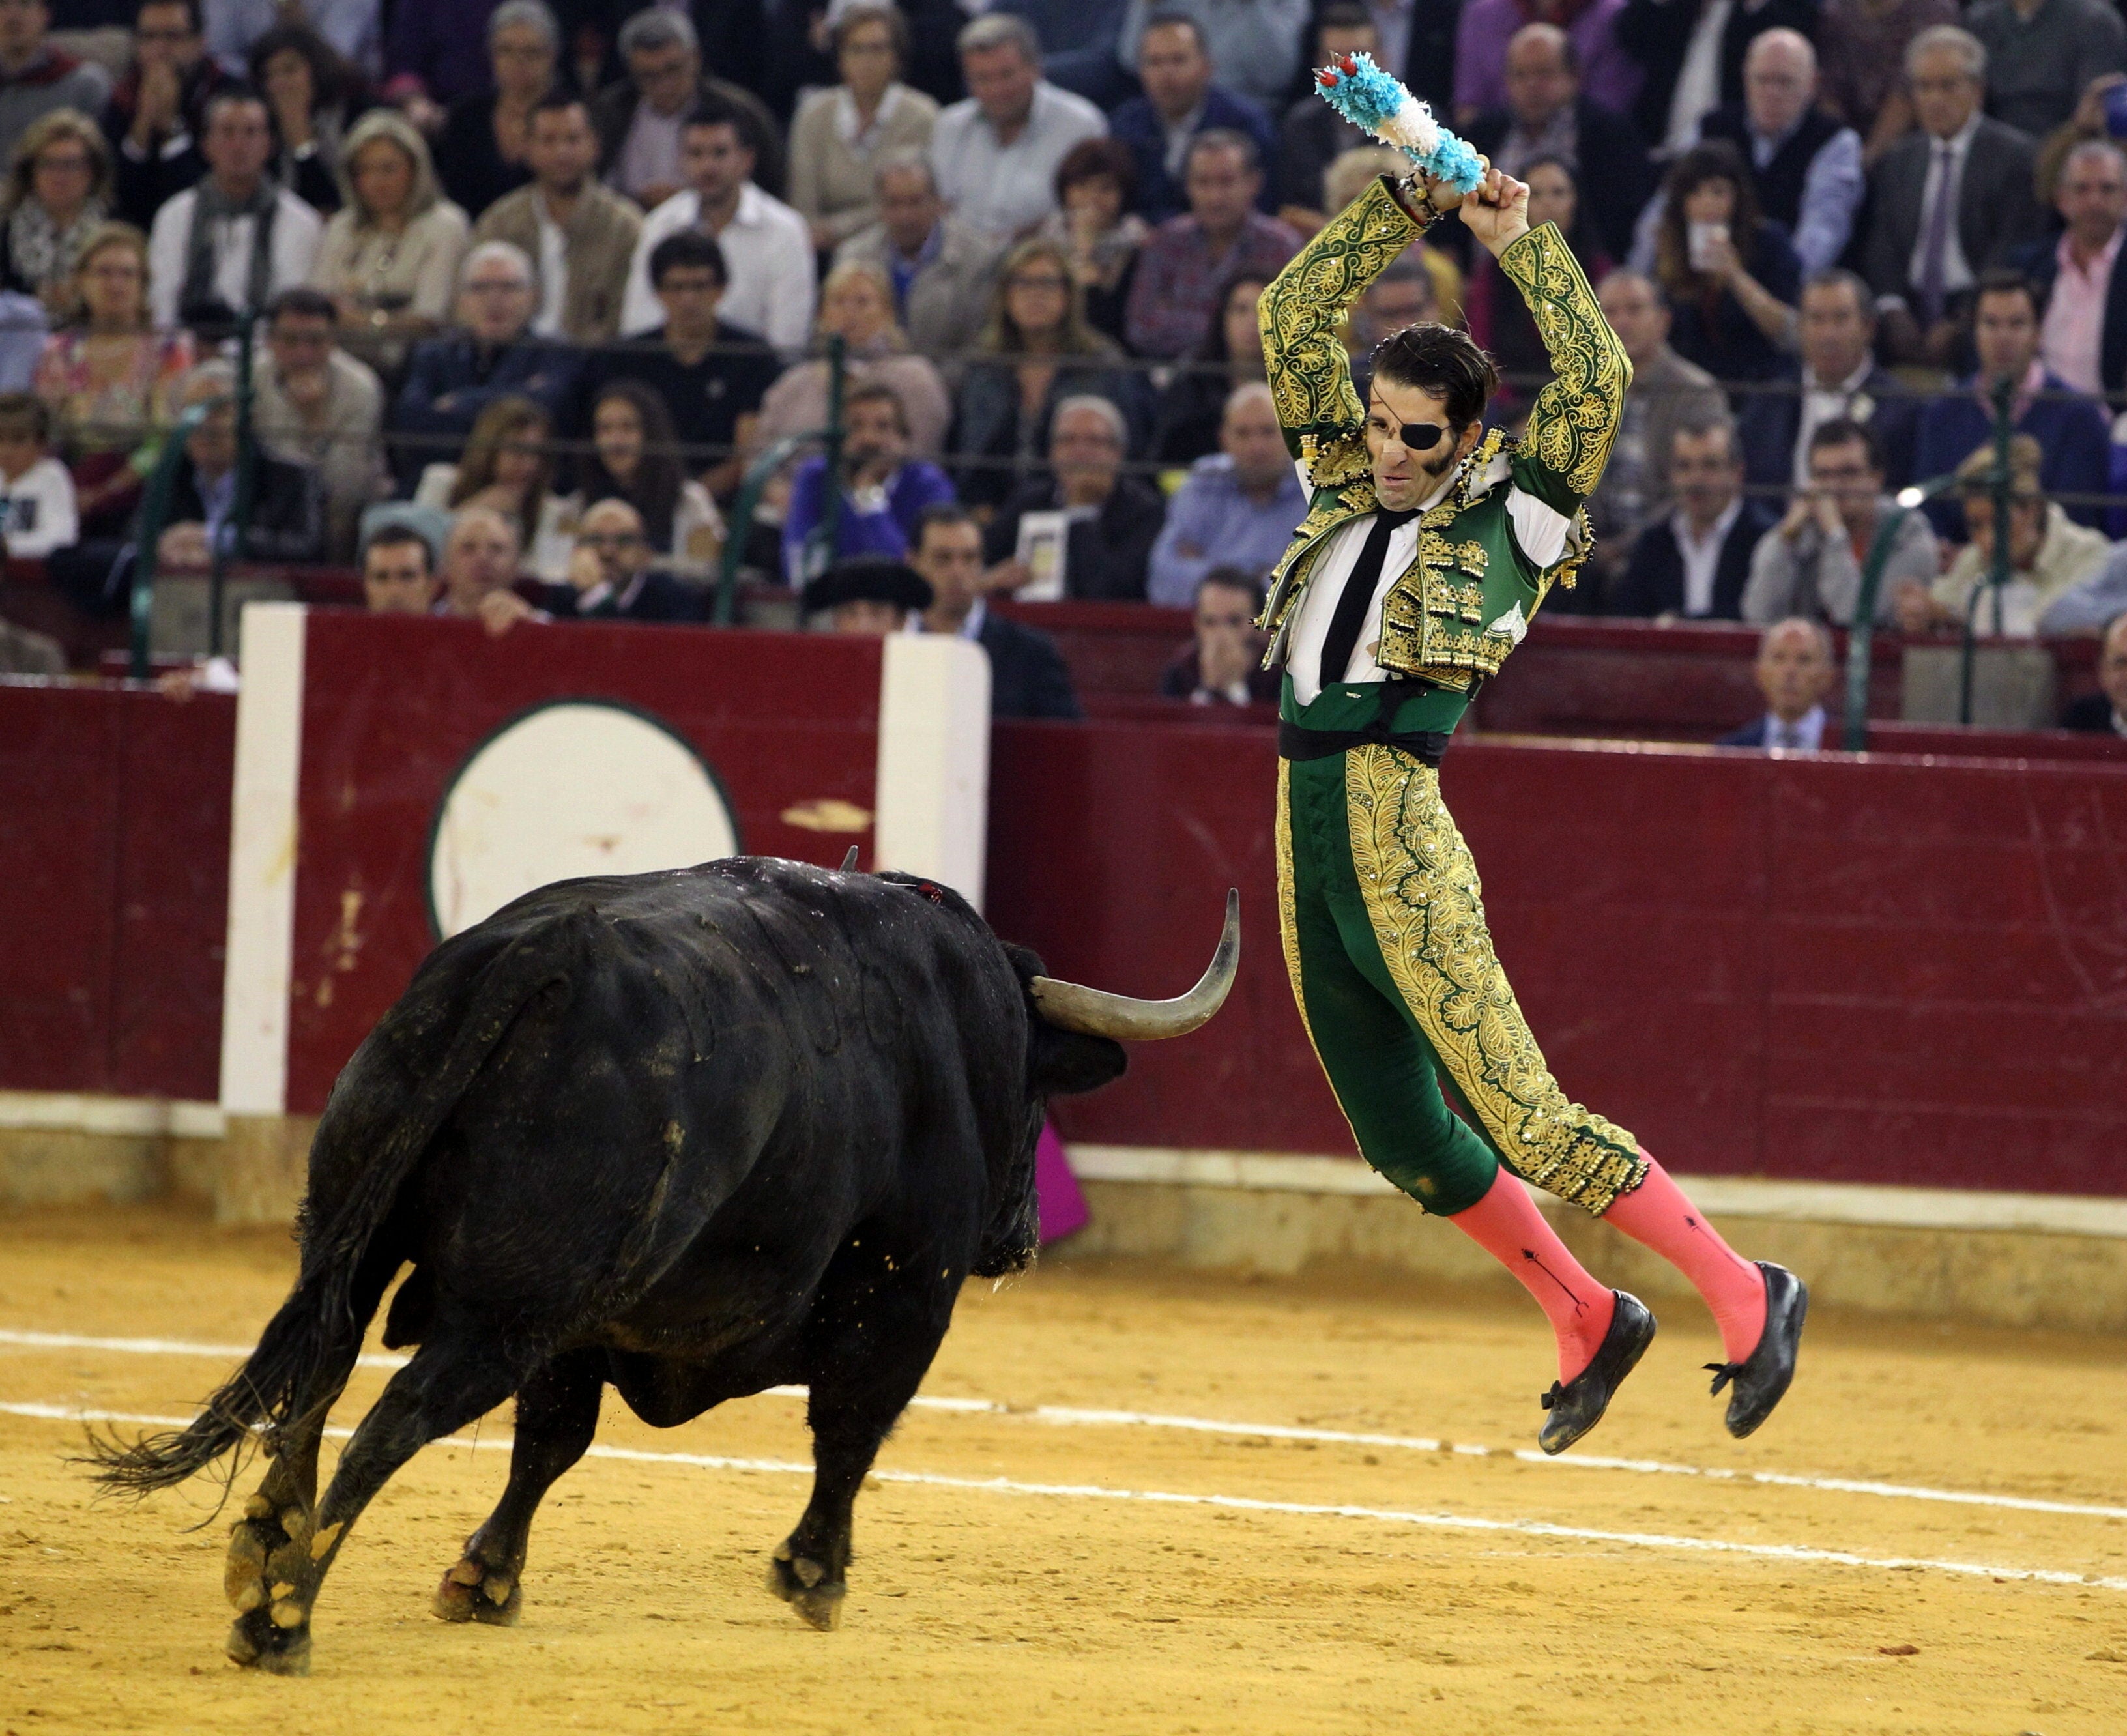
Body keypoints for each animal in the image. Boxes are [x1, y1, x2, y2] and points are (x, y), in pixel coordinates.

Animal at [91, 859, 1242, 1676]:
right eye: (1039, 1092)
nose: (1023, 1237)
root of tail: (542, 955)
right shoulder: (905, 1296)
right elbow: (851, 1430)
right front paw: (815, 1575)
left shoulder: (590, 1322)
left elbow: (551, 1444)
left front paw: (485, 1579)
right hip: (509, 1307)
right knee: (392, 1417)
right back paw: (285, 1618)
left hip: (363, 1237)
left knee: (323, 1372)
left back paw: (265, 1551)